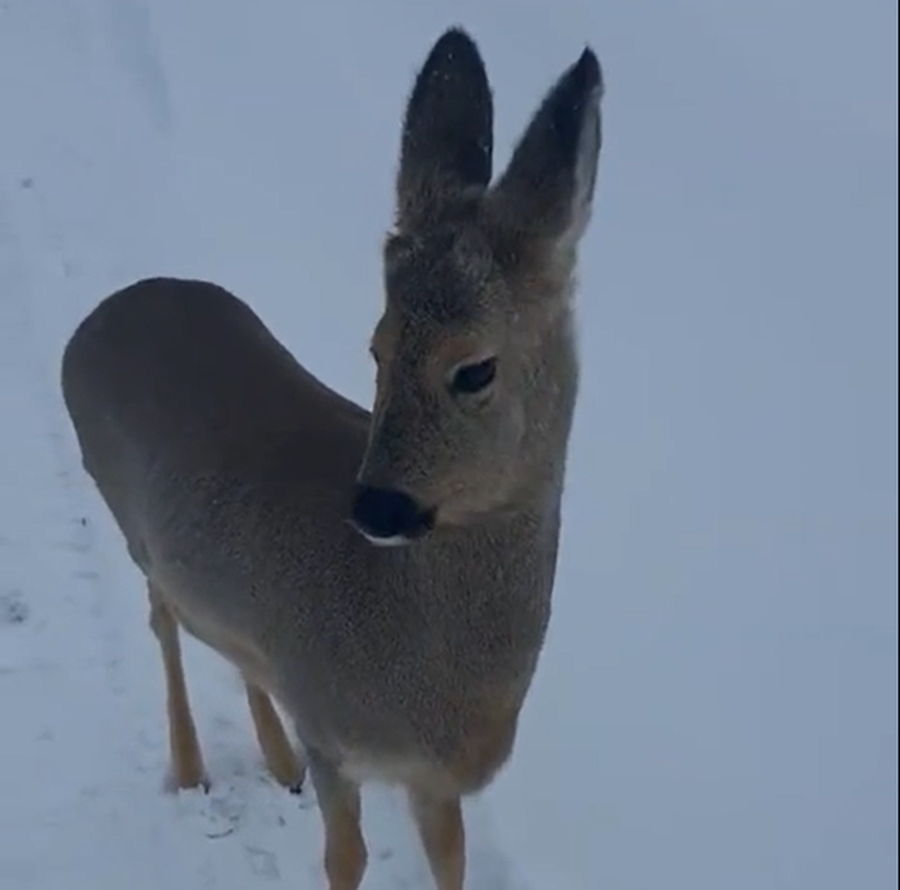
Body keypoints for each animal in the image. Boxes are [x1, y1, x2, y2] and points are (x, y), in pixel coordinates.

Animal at [59, 26, 600, 888]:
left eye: (474, 369)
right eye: (377, 346)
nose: (376, 505)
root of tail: (105, 311)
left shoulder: (430, 777)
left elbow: (452, 860)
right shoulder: (333, 736)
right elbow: (344, 858)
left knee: (211, 630)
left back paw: (274, 761)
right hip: (120, 507)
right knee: (162, 614)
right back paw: (190, 769)